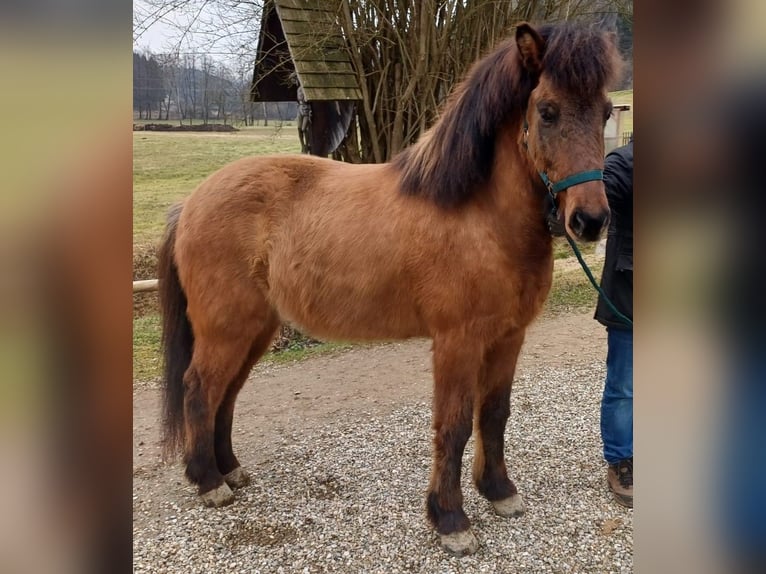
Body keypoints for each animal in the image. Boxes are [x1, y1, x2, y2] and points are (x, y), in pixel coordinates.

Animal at [157, 21, 622, 556]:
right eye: (546, 110)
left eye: (606, 111)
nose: (590, 221)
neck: (479, 216)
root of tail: (191, 202)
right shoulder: (458, 341)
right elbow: (454, 425)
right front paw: (451, 519)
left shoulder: (509, 336)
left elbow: (494, 414)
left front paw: (499, 492)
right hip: (226, 328)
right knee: (199, 389)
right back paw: (209, 482)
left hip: (256, 328)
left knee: (226, 394)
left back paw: (230, 469)